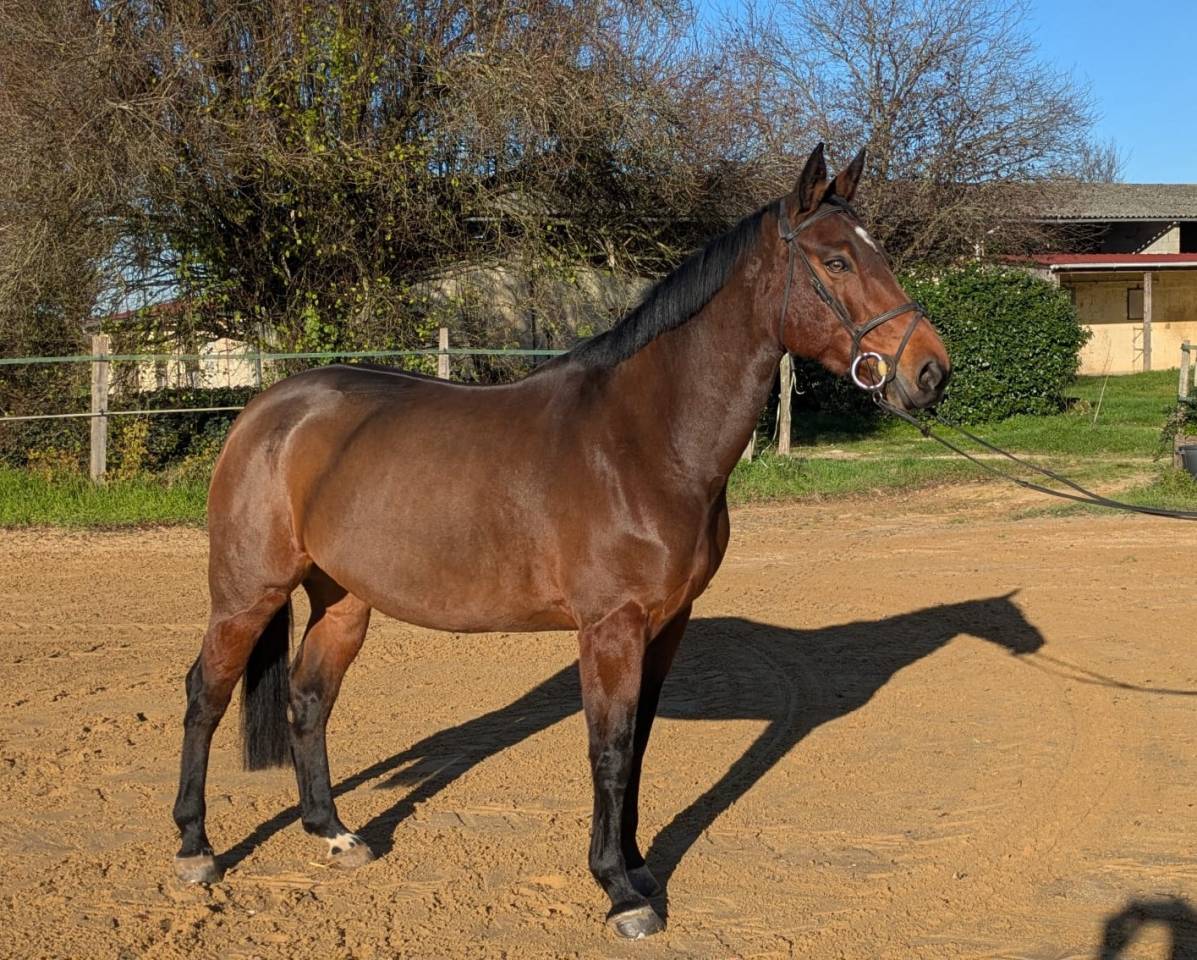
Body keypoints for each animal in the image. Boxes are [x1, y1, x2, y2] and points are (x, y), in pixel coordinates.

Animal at [171, 143, 951, 939]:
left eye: (878, 253)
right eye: (836, 262)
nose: (929, 371)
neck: (643, 439)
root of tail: (265, 410)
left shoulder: (666, 624)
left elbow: (638, 745)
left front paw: (638, 866)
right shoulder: (610, 626)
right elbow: (608, 749)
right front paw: (620, 892)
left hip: (343, 600)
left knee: (308, 698)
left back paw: (333, 832)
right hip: (247, 593)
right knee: (206, 693)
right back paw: (197, 848)